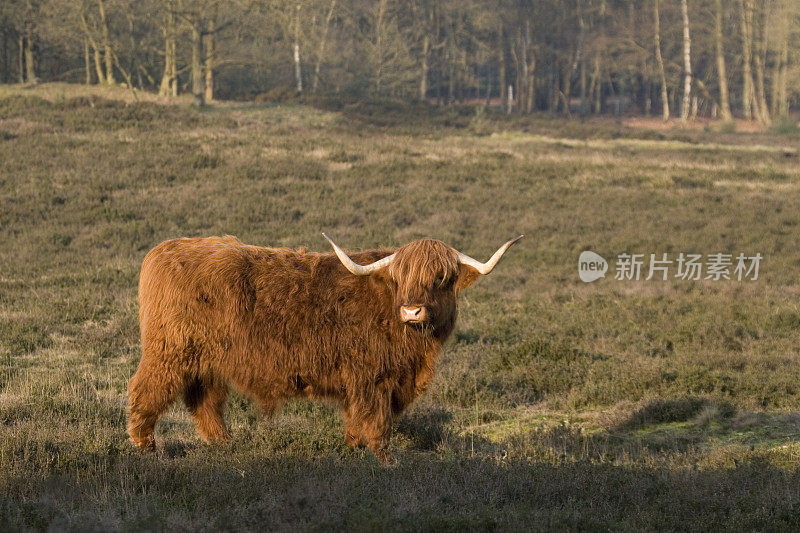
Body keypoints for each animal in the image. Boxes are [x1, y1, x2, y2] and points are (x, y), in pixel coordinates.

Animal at [127, 233, 520, 462]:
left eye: (441, 277)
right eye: (399, 277)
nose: (412, 309)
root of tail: (162, 249)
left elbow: (356, 421)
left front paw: (354, 450)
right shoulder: (373, 380)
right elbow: (377, 423)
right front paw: (386, 462)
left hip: (207, 360)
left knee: (205, 401)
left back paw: (225, 445)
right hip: (170, 352)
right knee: (146, 390)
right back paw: (145, 448)